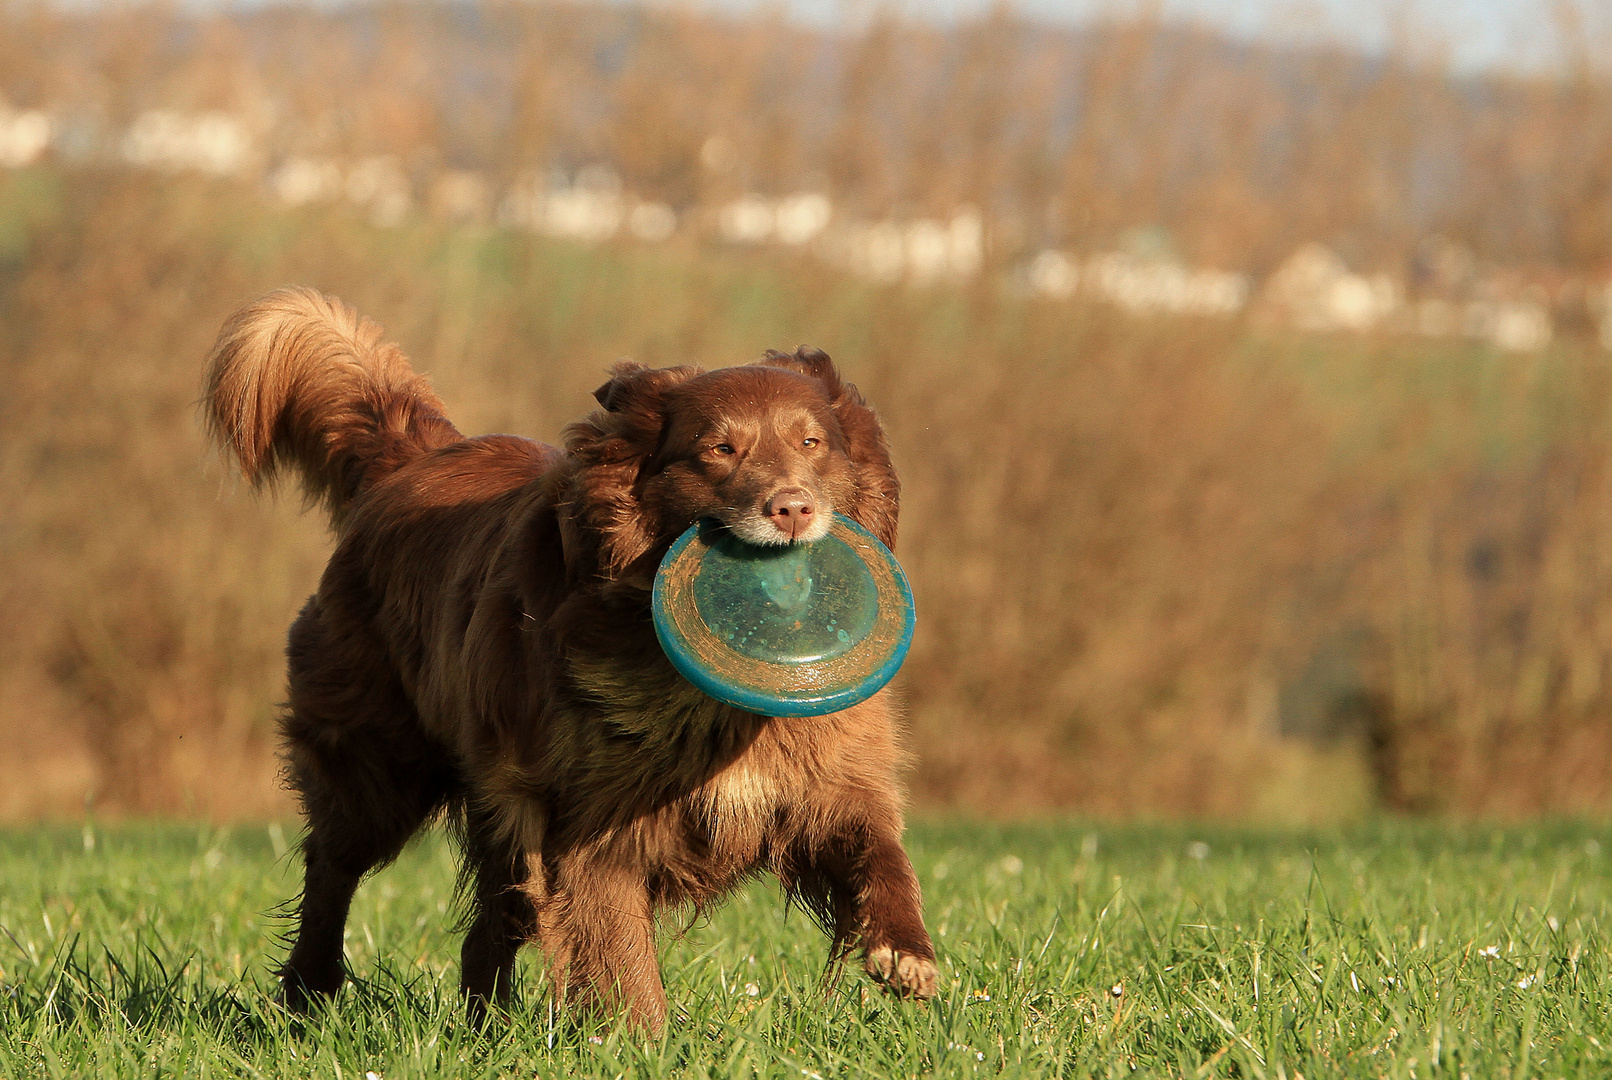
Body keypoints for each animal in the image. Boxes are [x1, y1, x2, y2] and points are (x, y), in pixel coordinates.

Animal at [201, 286, 934, 1031]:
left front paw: (907, 953)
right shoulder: (590, 826)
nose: (792, 508)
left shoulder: (827, 777)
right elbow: (620, 957)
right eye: (720, 450)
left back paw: (487, 1028)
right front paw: (645, 1042)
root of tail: (413, 461)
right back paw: (308, 996)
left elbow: (879, 845)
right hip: (378, 766)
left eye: (811, 443)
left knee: (487, 929)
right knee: (332, 870)